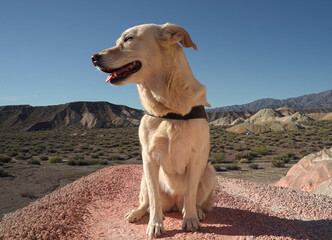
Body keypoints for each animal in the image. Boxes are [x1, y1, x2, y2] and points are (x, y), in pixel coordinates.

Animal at [91, 23, 215, 238]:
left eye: (128, 39)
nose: (93, 57)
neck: (168, 109)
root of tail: (174, 204)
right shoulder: (149, 158)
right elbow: (154, 199)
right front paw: (155, 224)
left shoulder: (197, 157)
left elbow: (190, 193)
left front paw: (190, 219)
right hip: (143, 178)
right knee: (147, 202)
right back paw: (136, 212)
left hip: (209, 172)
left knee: (192, 200)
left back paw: (196, 211)